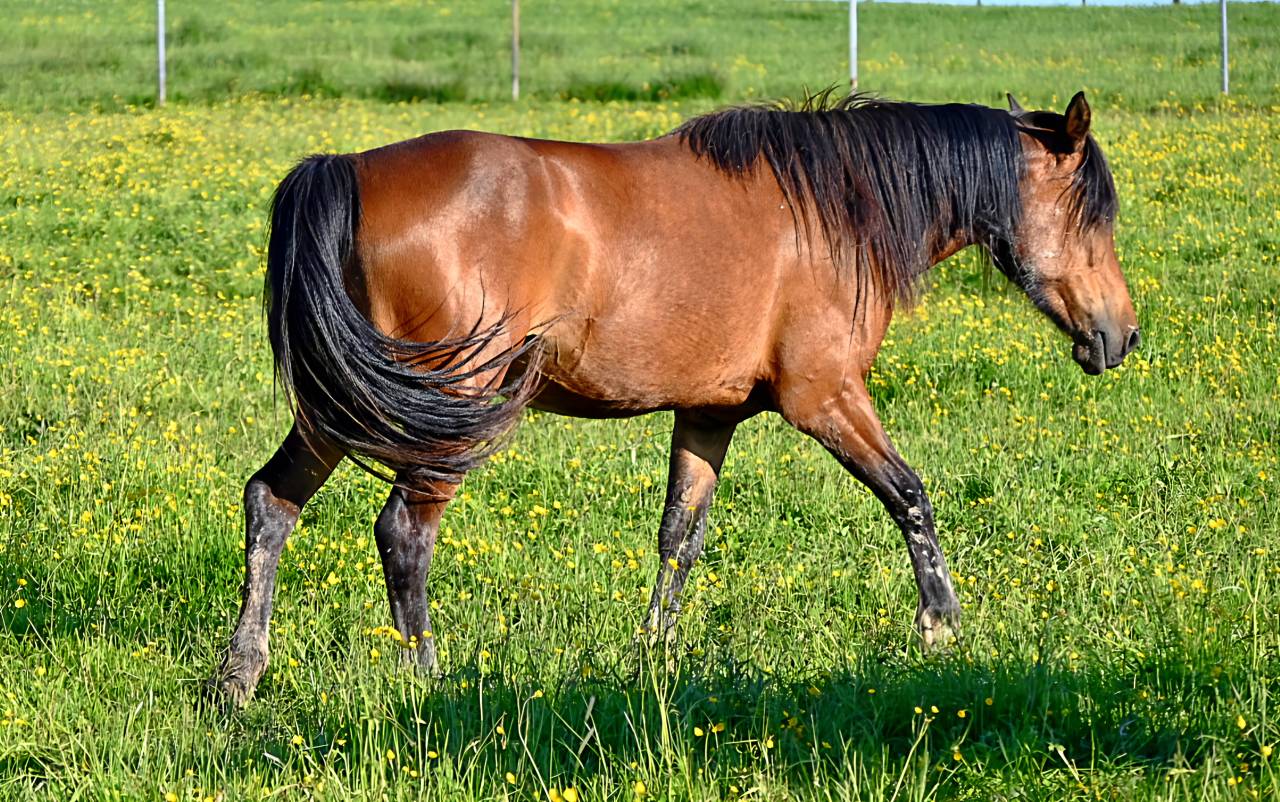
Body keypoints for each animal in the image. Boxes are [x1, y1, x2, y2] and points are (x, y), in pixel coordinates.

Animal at [213, 91, 1140, 706]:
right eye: (1092, 216)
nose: (1121, 336)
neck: (834, 206)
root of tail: (349, 171)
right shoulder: (827, 398)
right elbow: (910, 496)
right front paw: (941, 624)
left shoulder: (708, 414)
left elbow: (679, 538)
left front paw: (651, 658)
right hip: (445, 404)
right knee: (404, 532)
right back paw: (427, 680)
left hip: (346, 405)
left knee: (272, 503)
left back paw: (238, 678)